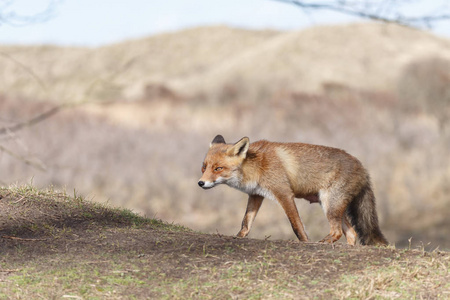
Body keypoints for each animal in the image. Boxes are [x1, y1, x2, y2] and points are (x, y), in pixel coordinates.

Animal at [199, 136, 388, 246]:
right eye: (204, 167)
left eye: (218, 168)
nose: (201, 183)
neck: (256, 166)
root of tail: (363, 168)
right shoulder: (256, 195)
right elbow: (246, 222)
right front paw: (238, 237)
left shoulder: (284, 193)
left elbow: (296, 225)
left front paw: (305, 242)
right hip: (332, 207)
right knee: (351, 233)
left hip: (330, 205)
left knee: (337, 232)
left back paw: (321, 243)